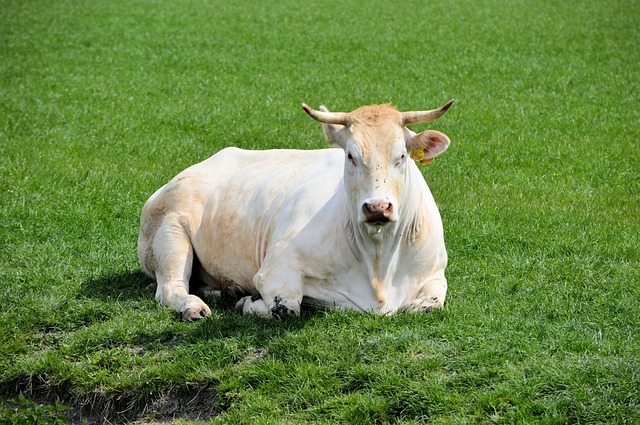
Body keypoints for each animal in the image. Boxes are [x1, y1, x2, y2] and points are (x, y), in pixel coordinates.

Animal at [138, 98, 452, 318]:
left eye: (401, 156)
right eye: (350, 155)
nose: (377, 207)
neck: (378, 262)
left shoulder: (435, 272)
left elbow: (431, 303)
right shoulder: (276, 269)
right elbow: (286, 308)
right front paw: (248, 302)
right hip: (170, 231)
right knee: (170, 289)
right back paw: (194, 306)